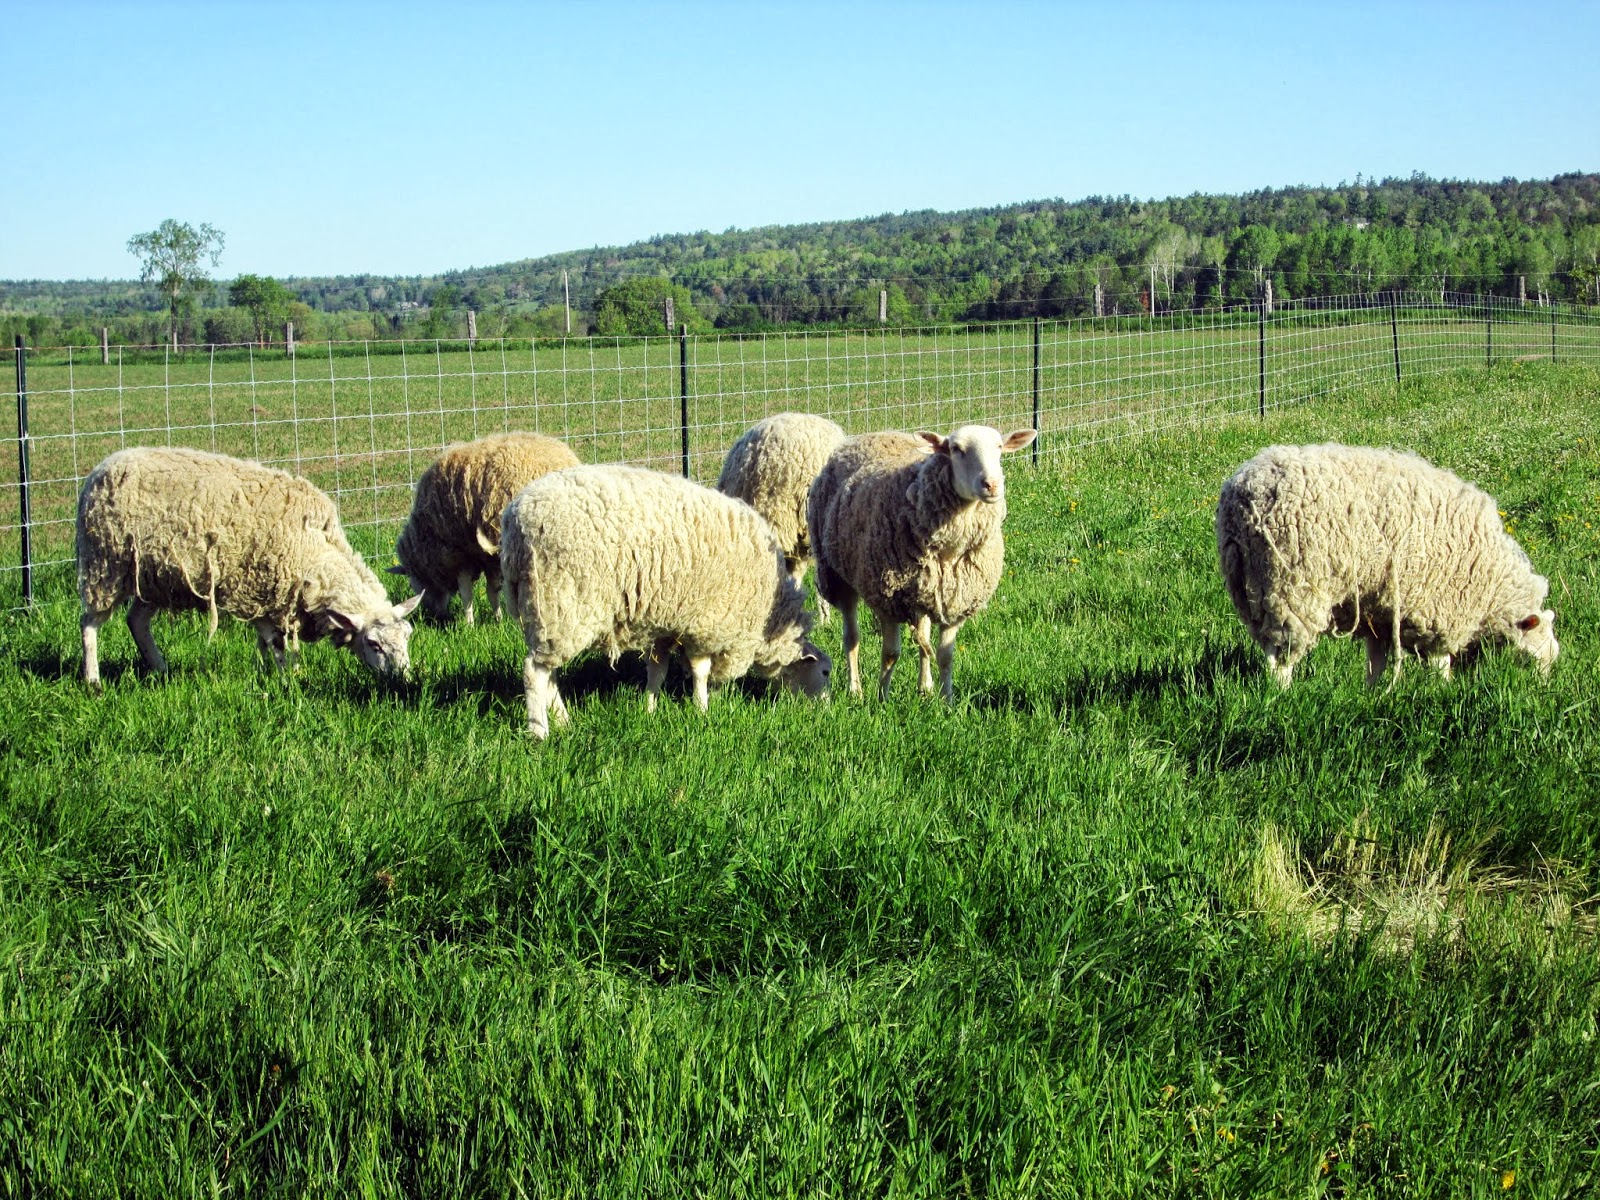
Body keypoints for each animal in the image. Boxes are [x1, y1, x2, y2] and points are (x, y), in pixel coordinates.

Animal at [77, 446, 421, 688]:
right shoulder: (263, 591)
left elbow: (264, 643)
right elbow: (276, 642)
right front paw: (289, 679)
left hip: (157, 580)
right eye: (373, 644)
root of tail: (100, 469)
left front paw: (266, 672)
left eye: (407, 636)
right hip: (105, 564)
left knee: (136, 621)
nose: (404, 681)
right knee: (89, 624)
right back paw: (93, 681)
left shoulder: (267, 595)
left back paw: (161, 670)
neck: (315, 551)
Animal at [390, 431, 579, 624]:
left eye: (414, 584)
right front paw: (498, 619)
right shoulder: (485, 558)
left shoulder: (459, 555)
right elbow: (491, 590)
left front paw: (469, 623)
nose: (435, 617)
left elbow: (467, 593)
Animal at [500, 463, 832, 738]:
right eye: (825, 672)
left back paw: (563, 719)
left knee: (549, 671)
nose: (827, 710)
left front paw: (649, 708)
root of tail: (516, 520)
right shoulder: (705, 622)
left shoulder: (666, 624)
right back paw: (539, 731)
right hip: (563, 601)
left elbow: (657, 671)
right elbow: (700, 671)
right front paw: (702, 709)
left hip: (548, 612)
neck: (768, 618)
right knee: (533, 671)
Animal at [808, 424, 1036, 701]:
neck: (950, 550)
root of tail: (871, 434)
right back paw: (855, 689)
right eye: (956, 449)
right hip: (837, 576)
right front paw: (882, 698)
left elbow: (945, 655)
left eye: (1000, 447)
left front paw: (946, 699)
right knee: (852, 636)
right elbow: (891, 653)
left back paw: (924, 687)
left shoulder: (955, 600)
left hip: (923, 593)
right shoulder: (887, 599)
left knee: (921, 638)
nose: (991, 484)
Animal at [1215, 442, 1559, 687]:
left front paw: (1373, 695)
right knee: (1280, 657)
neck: (1493, 590)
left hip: (1251, 588)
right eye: (1530, 659)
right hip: (1291, 587)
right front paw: (1443, 692)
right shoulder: (1440, 611)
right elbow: (1439, 662)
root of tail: (1244, 494)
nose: (1541, 690)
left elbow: (1376, 663)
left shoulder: (1379, 615)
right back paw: (1282, 695)